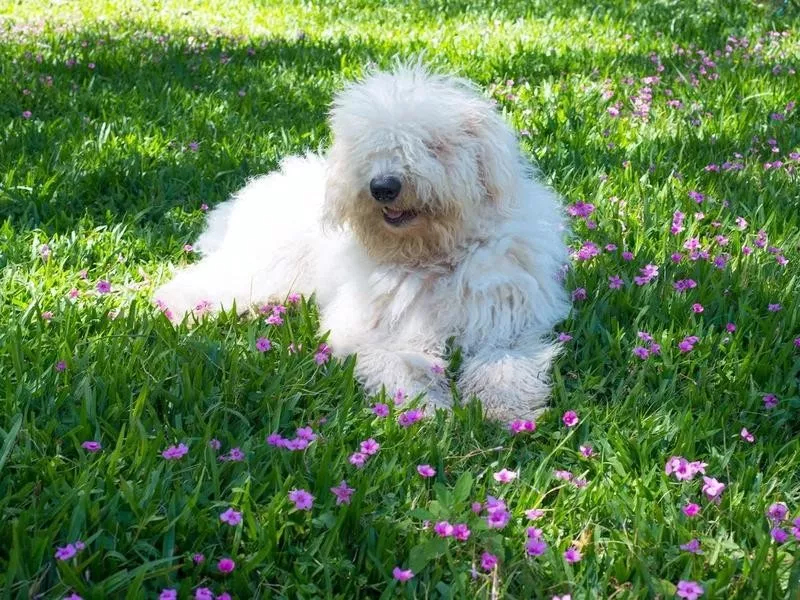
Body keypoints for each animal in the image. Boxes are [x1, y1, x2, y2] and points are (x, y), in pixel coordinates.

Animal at [155, 64, 568, 422]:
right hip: (259, 270)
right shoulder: (372, 331)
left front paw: (501, 409)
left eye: (431, 145)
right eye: (369, 148)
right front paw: (426, 412)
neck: (431, 256)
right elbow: (399, 365)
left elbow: (504, 363)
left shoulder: (507, 325)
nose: (383, 187)